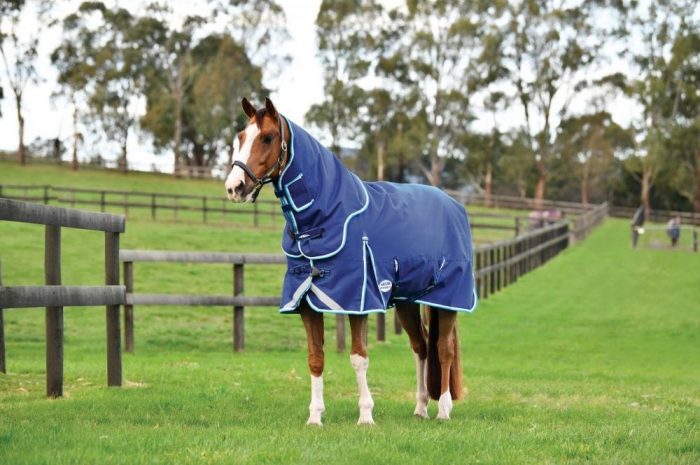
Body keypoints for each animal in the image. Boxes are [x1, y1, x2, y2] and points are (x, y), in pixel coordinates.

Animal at [225, 97, 477, 425]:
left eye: (267, 137)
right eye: (241, 137)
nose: (234, 187)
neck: (327, 217)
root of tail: (454, 204)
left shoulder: (358, 300)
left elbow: (359, 358)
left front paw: (366, 416)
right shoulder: (306, 302)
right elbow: (315, 358)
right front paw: (315, 417)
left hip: (447, 300)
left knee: (443, 349)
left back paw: (444, 410)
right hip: (407, 301)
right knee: (421, 347)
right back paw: (421, 408)